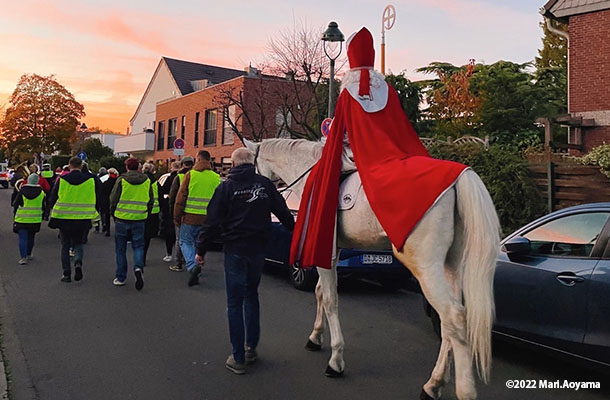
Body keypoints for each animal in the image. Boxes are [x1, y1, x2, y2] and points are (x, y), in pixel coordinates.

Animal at [243, 138, 498, 400]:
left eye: (252, 169)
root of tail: (459, 177)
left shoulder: (327, 254)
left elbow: (330, 299)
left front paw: (336, 360)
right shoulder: (329, 254)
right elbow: (320, 293)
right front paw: (315, 337)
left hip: (427, 267)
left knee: (453, 316)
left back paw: (463, 390)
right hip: (450, 266)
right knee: (450, 322)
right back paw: (433, 384)